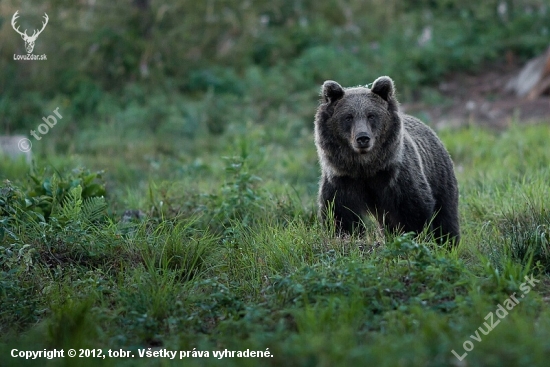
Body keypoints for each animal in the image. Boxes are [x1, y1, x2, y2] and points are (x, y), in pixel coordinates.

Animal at [314, 76, 462, 246]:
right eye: (348, 117)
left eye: (371, 115)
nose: (363, 138)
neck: (365, 168)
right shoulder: (342, 180)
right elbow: (341, 216)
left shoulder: (396, 178)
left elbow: (413, 213)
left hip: (439, 176)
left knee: (445, 215)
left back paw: (448, 242)